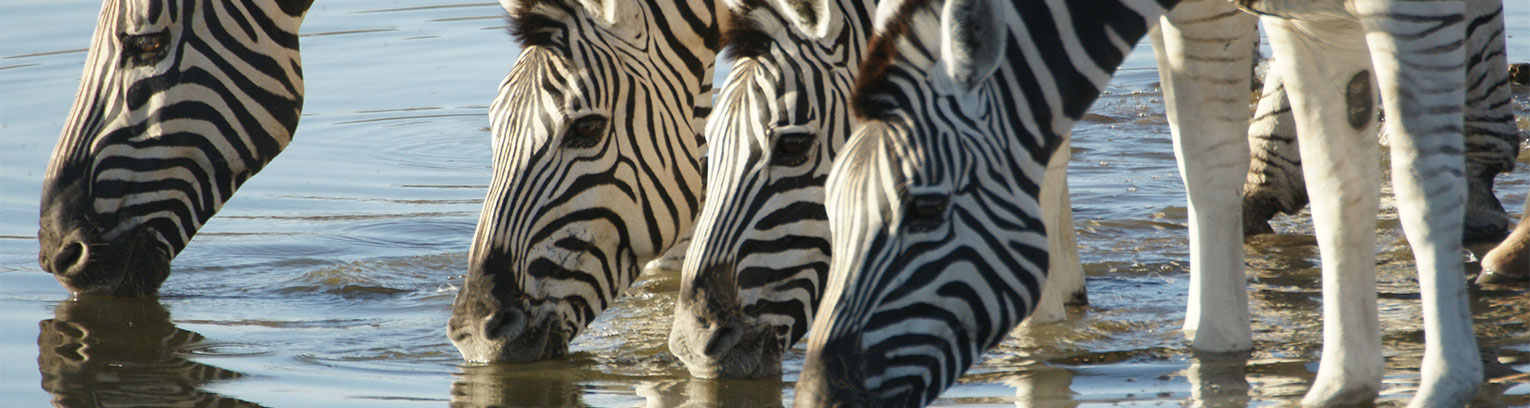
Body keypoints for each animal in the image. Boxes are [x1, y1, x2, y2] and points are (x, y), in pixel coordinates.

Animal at [797, 0, 1483, 406]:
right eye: (828, 208)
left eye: (926, 211)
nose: (816, 398)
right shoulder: (1305, 22)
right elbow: (1328, 186)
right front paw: (1342, 381)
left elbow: (1420, 182)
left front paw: (1446, 383)